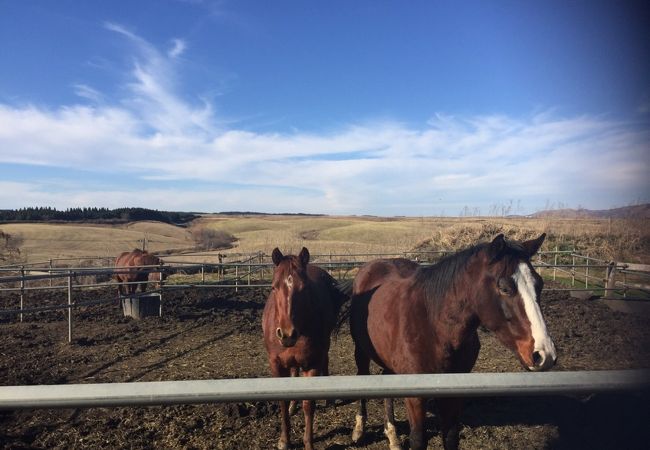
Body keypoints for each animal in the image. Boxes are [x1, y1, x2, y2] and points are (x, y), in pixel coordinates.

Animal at [260, 248, 346, 448]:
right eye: (274, 287)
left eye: (304, 288)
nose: (287, 334)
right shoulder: (276, 364)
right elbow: (282, 402)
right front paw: (284, 440)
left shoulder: (312, 363)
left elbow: (308, 404)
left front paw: (308, 443)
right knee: (293, 372)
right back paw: (293, 405)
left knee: (325, 362)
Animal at [346, 234, 556, 450]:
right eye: (505, 288)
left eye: (539, 284)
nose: (544, 354)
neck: (433, 325)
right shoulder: (415, 397)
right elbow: (418, 440)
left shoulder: (454, 391)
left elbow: (450, 437)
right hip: (361, 351)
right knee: (362, 377)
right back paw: (359, 431)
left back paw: (393, 436)